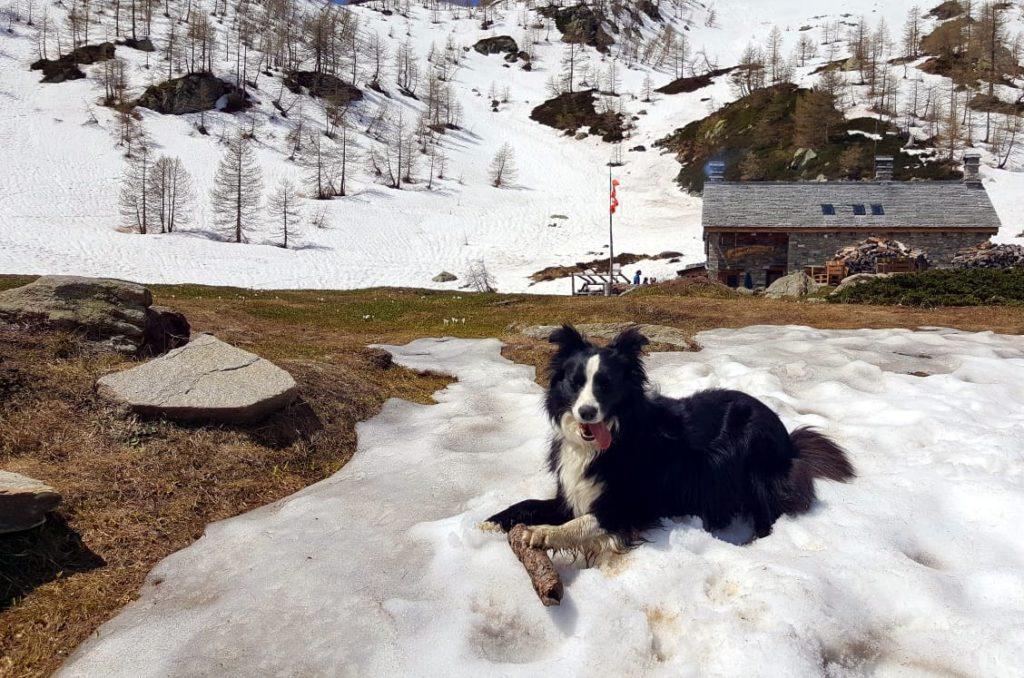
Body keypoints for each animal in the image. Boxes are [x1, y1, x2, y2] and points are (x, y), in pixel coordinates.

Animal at [483, 327, 851, 557]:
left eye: (605, 384)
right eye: (575, 383)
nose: (587, 413)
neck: (607, 440)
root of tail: (788, 438)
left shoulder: (631, 506)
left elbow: (585, 522)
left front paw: (541, 533)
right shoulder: (572, 493)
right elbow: (530, 502)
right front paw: (491, 522)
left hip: (754, 459)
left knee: (768, 515)